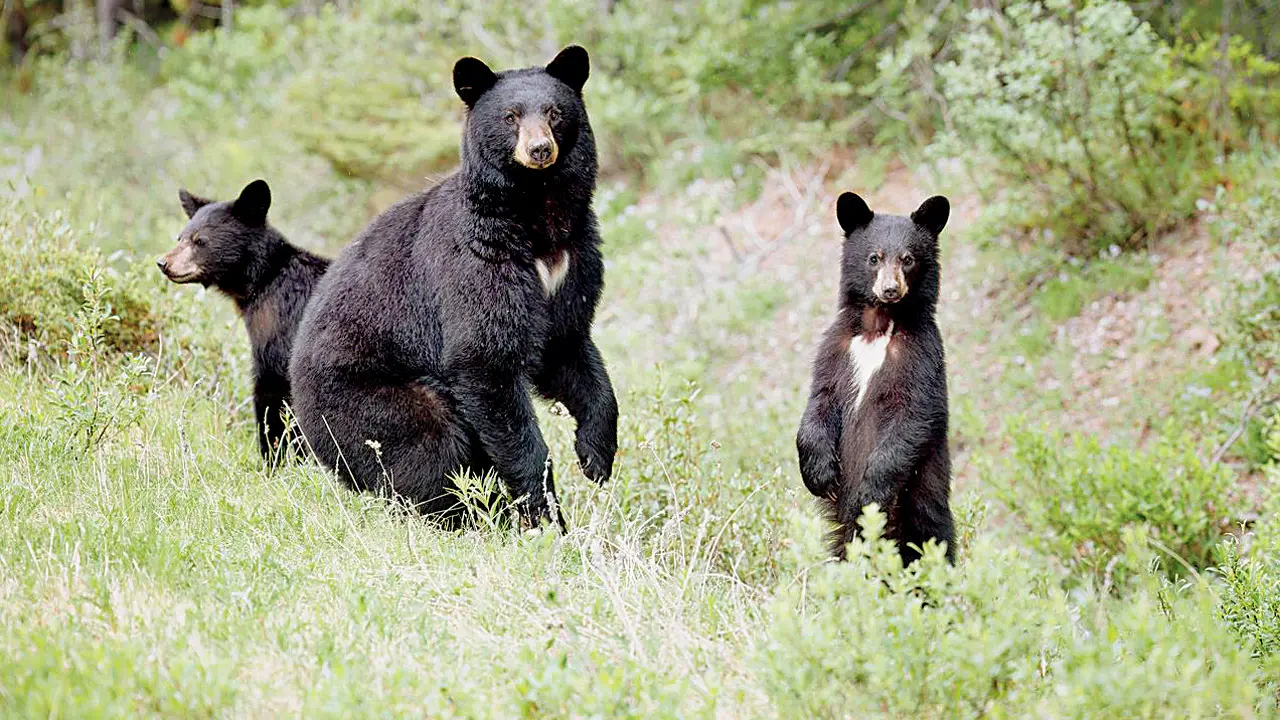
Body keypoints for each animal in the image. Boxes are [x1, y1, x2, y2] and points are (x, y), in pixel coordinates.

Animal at [158, 179, 330, 460]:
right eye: (180, 237)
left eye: (200, 240)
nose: (163, 263)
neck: (265, 279)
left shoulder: (278, 328)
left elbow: (272, 393)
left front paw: (275, 457)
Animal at [288, 45, 618, 530]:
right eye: (510, 116)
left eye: (555, 112)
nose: (539, 149)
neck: (537, 216)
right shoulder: (476, 263)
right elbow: (485, 361)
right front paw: (544, 514)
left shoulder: (573, 260)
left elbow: (569, 347)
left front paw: (596, 454)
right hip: (366, 401)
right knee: (432, 448)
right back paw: (464, 519)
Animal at [796, 192, 955, 565]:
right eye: (874, 257)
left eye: (908, 259)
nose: (890, 289)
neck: (878, 326)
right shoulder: (837, 348)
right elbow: (820, 399)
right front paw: (819, 474)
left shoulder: (921, 354)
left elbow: (916, 414)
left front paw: (870, 492)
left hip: (922, 514)